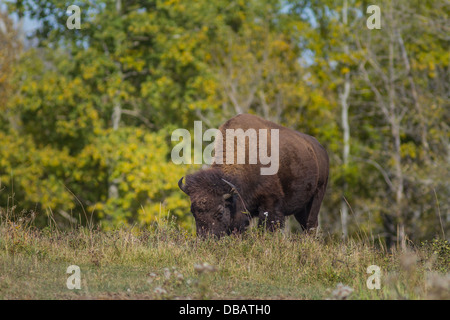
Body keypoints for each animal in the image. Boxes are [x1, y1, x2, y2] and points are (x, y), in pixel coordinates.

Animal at [178, 114, 328, 236]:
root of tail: (319, 148)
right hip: (301, 208)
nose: (206, 238)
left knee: (311, 225)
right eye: (193, 212)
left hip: (317, 195)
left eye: (220, 212)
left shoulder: (270, 204)